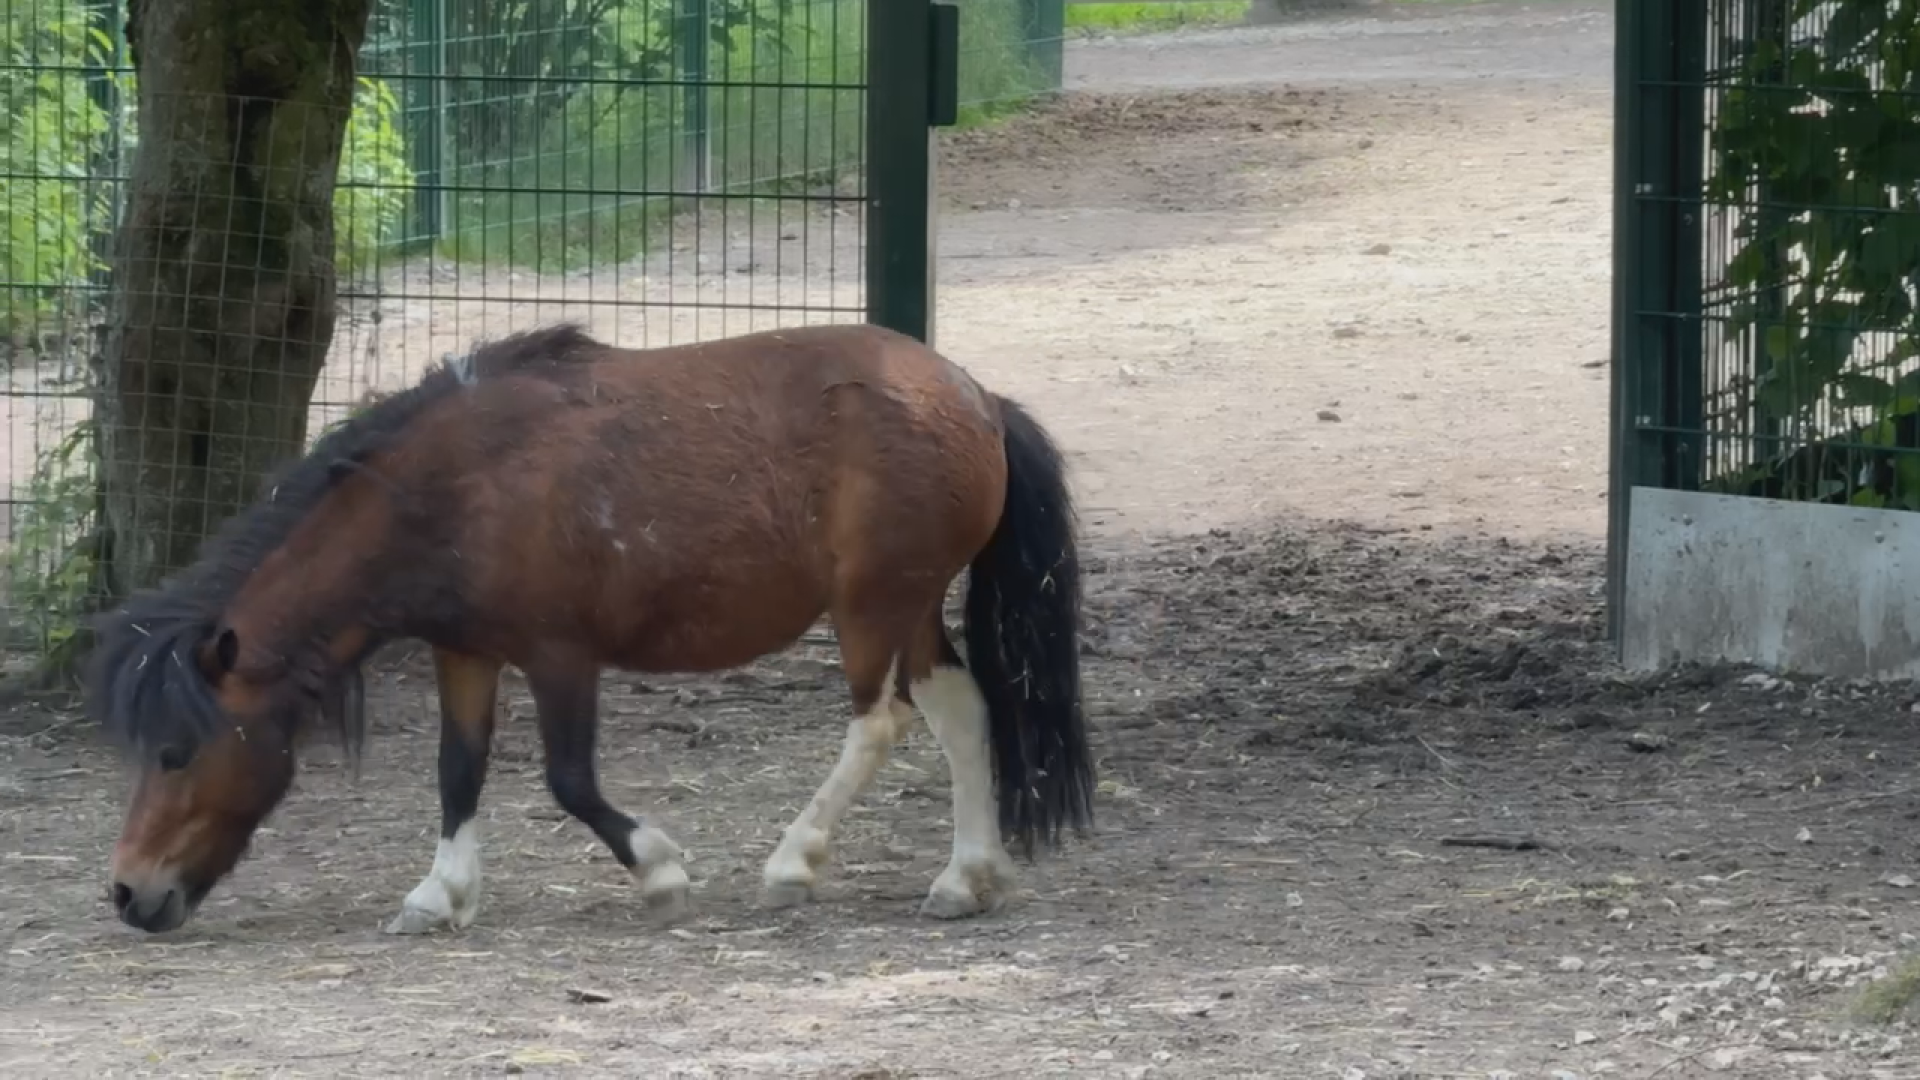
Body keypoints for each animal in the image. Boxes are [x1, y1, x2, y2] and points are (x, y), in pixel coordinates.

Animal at [90, 322, 1093, 935]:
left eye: (175, 751)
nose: (130, 891)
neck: (450, 485)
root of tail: (978, 399)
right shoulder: (468, 653)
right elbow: (458, 771)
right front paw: (439, 894)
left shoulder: (560, 656)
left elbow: (569, 780)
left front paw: (659, 868)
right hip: (912, 607)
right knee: (962, 710)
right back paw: (965, 877)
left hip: (870, 609)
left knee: (878, 724)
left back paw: (794, 861)